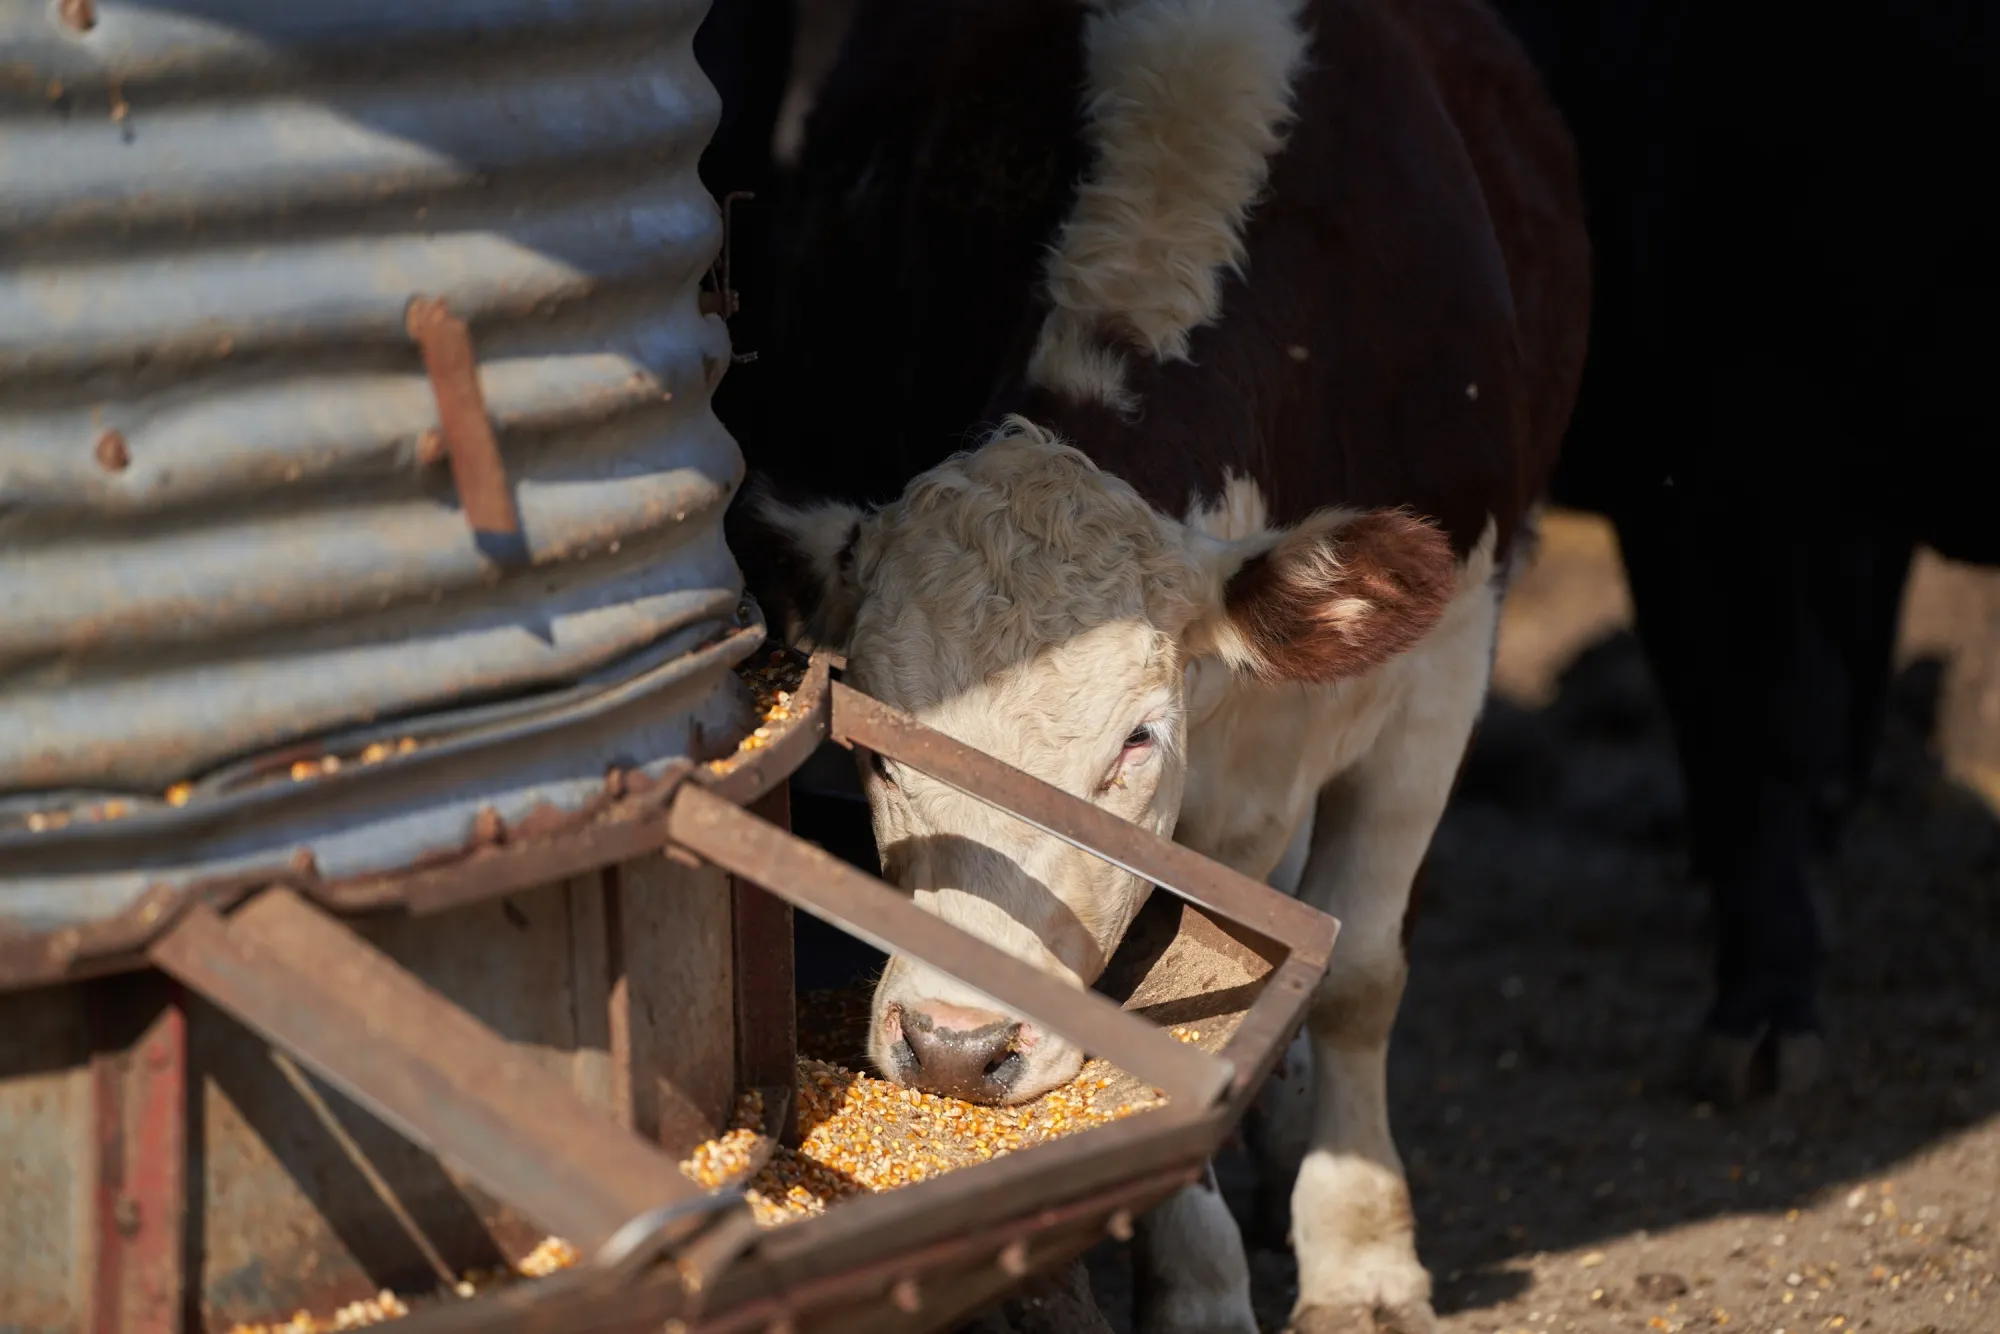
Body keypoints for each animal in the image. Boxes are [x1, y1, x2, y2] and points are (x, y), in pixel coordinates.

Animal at [725, 0, 1590, 1329]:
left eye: (1134, 742)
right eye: (875, 744)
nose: (956, 1048)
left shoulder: (1447, 652)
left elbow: (1355, 973)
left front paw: (1360, 1251)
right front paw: (1196, 1282)